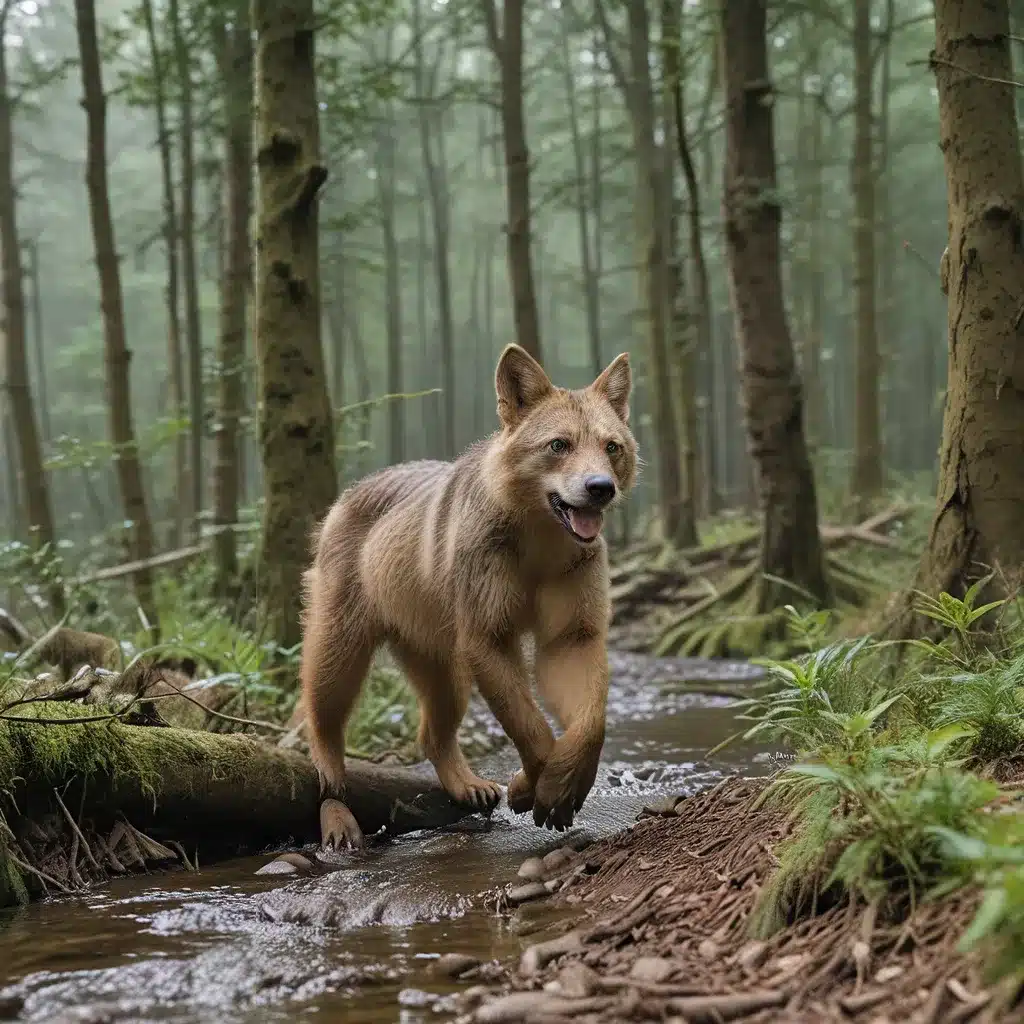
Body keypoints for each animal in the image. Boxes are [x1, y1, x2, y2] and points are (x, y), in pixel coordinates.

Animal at [296, 344, 634, 847]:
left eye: (611, 447)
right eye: (559, 445)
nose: (601, 488)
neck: (538, 547)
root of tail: (347, 495)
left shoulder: (573, 638)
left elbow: (589, 724)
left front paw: (550, 787)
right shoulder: (487, 637)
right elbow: (529, 725)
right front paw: (536, 789)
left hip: (443, 666)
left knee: (431, 735)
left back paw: (468, 786)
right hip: (341, 654)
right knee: (320, 733)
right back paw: (337, 815)